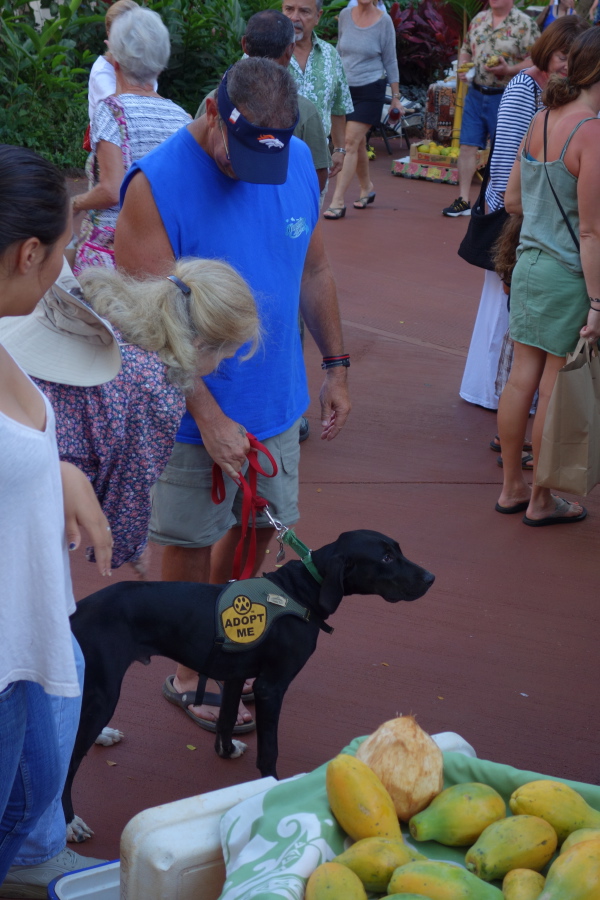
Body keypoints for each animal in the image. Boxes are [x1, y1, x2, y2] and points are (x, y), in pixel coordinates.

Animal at [64, 528, 432, 836]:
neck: (304, 590)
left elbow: (227, 718)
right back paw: (69, 823)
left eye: (398, 549)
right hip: (104, 691)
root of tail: (75, 611)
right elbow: (269, 751)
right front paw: (273, 787)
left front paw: (225, 751)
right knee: (66, 762)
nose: (431, 577)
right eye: (386, 558)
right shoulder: (271, 687)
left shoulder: (235, 673)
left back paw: (103, 736)